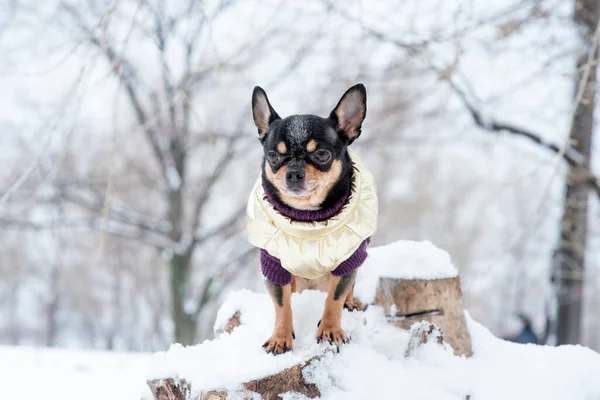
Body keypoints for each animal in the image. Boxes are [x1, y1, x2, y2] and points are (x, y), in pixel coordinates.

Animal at [245, 83, 378, 354]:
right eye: (273, 157)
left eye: (322, 155)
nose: (294, 172)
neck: (307, 219)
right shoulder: (274, 265)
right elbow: (282, 304)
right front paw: (280, 337)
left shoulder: (348, 260)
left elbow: (334, 297)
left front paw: (330, 330)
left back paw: (351, 303)